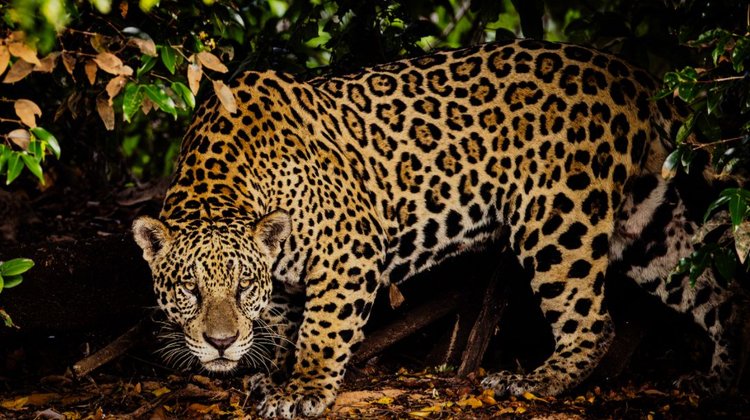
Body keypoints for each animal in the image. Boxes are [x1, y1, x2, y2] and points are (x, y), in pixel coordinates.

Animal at [132, 38, 744, 418]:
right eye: (189, 290)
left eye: (240, 287)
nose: (220, 342)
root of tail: (633, 76)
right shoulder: (282, 274)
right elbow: (282, 325)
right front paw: (267, 375)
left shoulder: (350, 247)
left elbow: (321, 330)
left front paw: (303, 389)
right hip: (646, 221)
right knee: (716, 288)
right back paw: (720, 380)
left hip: (557, 218)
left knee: (594, 322)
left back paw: (532, 382)